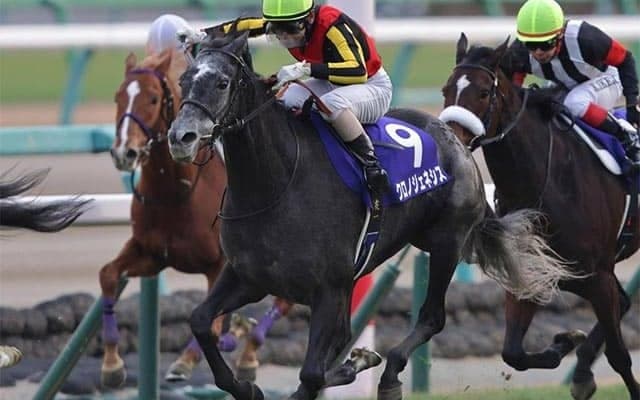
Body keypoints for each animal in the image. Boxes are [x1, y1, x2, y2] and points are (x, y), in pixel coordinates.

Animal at [105, 49, 291, 387]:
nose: (125, 153)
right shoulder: (151, 253)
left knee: (284, 302)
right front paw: (111, 364)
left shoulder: (220, 264)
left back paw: (248, 352)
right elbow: (108, 275)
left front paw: (185, 361)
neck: (177, 192)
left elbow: (212, 325)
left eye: (153, 98)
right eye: (118, 97)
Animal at [166, 30, 578, 400]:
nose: (181, 137)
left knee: (431, 317)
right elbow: (200, 321)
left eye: (222, 82)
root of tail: (455, 138)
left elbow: (312, 372)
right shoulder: (248, 277)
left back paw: (393, 375)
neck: (275, 183)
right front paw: (245, 385)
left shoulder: (329, 288)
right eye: (184, 80)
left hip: (446, 241)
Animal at [440, 33, 640, 400]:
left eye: (484, 93)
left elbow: (620, 356)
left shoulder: (599, 276)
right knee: (624, 300)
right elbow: (512, 353)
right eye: (447, 89)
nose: (448, 141)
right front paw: (565, 344)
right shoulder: (530, 270)